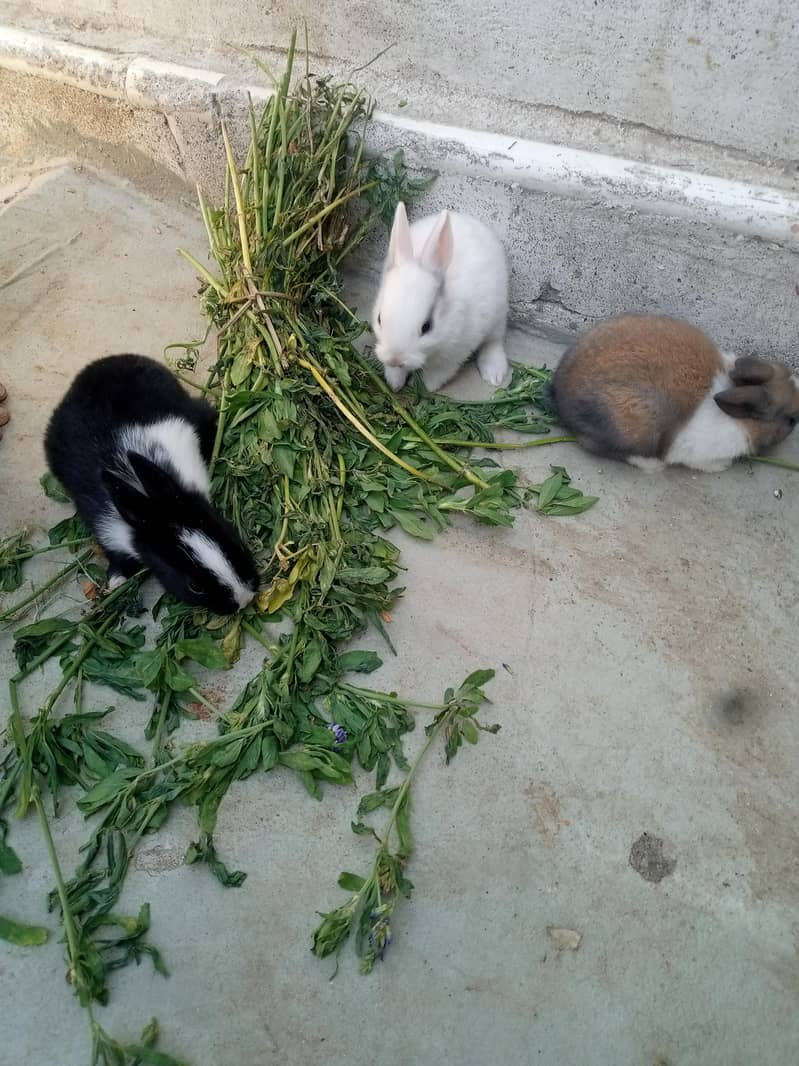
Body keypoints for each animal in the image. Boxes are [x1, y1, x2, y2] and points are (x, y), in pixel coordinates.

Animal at [371, 201, 510, 393]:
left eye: (426, 327)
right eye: (379, 319)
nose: (395, 359)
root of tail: (468, 219)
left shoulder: (453, 355)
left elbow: (436, 375)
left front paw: (421, 387)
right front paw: (395, 383)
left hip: (498, 316)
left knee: (494, 341)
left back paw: (494, 374)